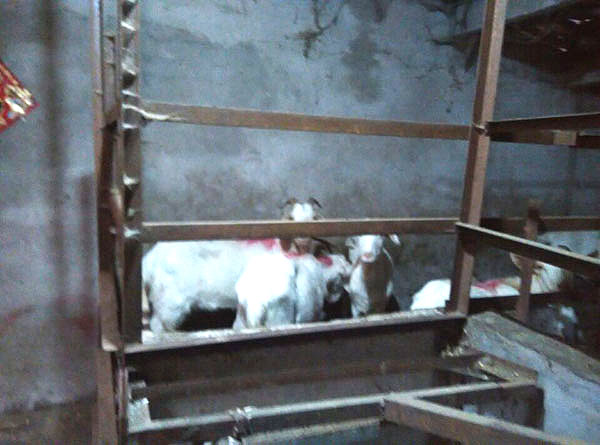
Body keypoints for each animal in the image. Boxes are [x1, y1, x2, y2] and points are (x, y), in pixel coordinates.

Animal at [143, 198, 322, 333]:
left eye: (313, 218)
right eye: (292, 219)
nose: (303, 241)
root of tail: (150, 259)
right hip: (171, 300)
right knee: (158, 324)